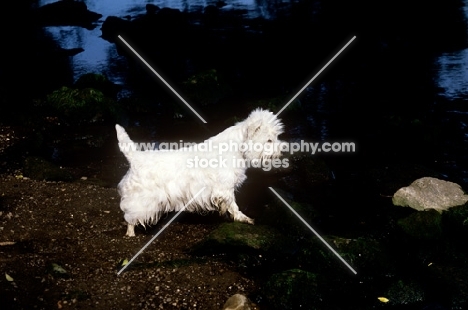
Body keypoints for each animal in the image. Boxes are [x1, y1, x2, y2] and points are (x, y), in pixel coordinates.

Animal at [116, 108, 286, 236]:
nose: (282, 151)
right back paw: (130, 233)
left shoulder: (223, 189)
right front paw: (243, 218)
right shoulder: (224, 187)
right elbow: (233, 204)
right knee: (130, 215)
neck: (238, 149)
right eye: (269, 140)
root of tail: (136, 158)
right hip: (141, 199)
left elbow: (227, 204)